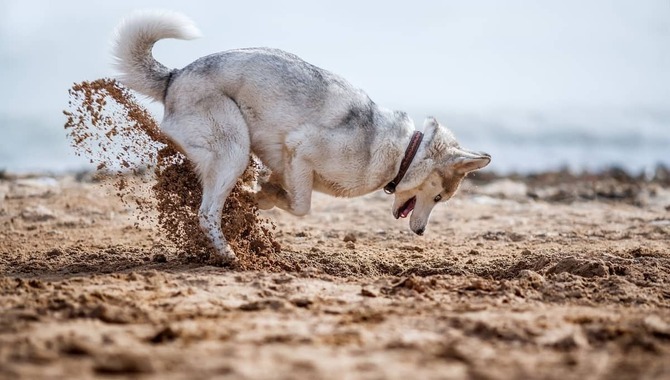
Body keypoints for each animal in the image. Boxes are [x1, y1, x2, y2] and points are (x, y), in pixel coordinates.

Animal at [113, 10, 494, 262]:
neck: (404, 153)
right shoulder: (301, 149)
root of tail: (175, 77)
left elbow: (283, 195)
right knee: (206, 213)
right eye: (440, 197)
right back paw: (229, 255)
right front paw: (257, 197)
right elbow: (300, 206)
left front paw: (261, 194)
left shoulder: (289, 165)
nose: (420, 233)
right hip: (235, 149)